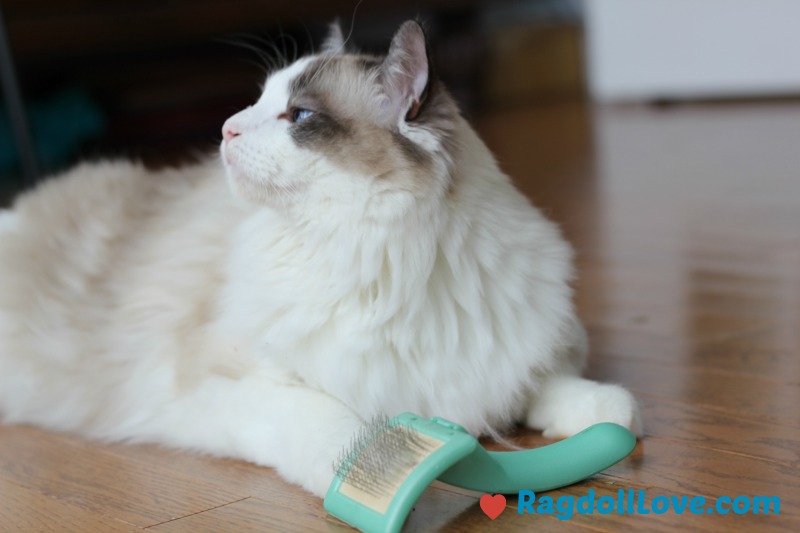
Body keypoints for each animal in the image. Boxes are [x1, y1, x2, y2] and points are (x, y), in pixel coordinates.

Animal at [0, 19, 640, 494]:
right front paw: (386, 472)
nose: (226, 128)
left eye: (299, 116)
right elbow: (345, 433)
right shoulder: (226, 384)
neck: (386, 265)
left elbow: (576, 393)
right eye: (257, 101)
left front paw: (607, 418)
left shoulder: (515, 355)